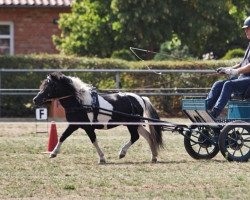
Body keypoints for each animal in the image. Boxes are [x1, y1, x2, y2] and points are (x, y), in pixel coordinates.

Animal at [33, 72, 163, 163]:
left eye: (50, 86)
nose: (35, 99)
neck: (80, 102)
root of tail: (141, 98)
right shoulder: (74, 125)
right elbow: (62, 137)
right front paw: (53, 153)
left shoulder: (88, 127)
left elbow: (93, 140)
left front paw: (102, 158)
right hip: (136, 124)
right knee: (148, 136)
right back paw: (153, 157)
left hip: (132, 124)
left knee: (135, 137)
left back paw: (122, 153)